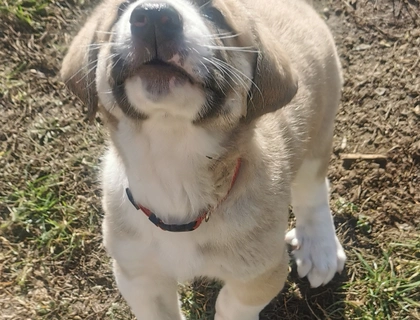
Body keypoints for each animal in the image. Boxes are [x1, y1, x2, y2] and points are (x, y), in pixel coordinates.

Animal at [60, 1, 346, 318]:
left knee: (313, 189)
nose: (154, 15)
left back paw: (319, 247)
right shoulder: (138, 275)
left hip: (319, 132)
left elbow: (230, 306)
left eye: (213, 13)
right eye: (121, 9)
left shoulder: (261, 274)